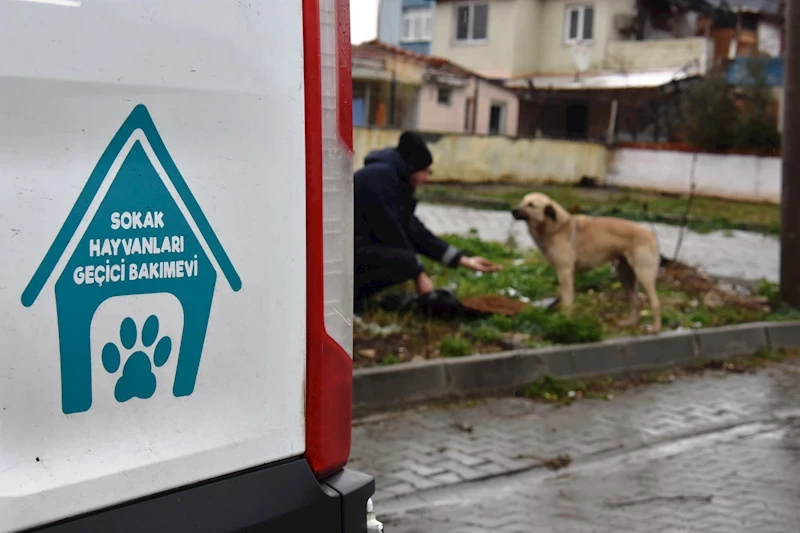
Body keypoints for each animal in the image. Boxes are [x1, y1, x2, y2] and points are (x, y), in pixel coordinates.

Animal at [512, 191, 664, 332]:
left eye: (531, 205)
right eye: (522, 201)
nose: (513, 210)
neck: (557, 228)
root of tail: (649, 233)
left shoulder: (565, 272)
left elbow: (567, 301)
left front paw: (565, 321)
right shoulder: (562, 274)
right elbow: (564, 298)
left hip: (643, 275)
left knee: (655, 303)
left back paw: (656, 328)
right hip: (624, 275)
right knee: (637, 300)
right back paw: (630, 322)